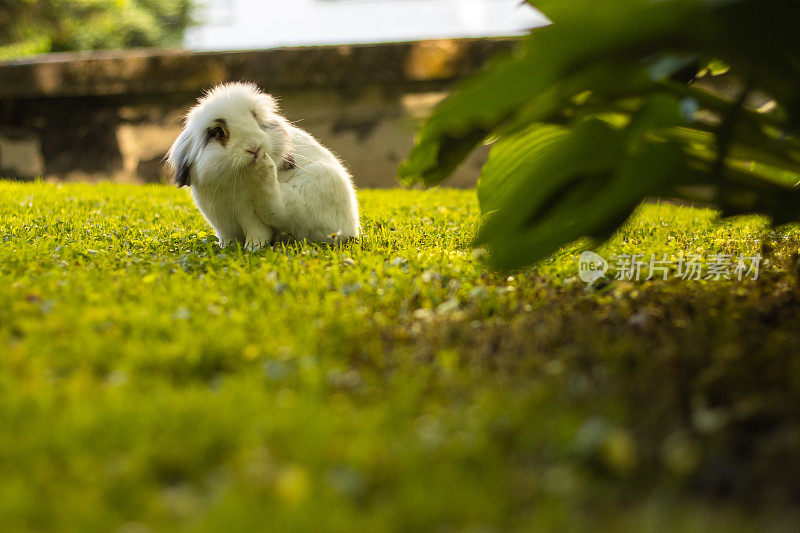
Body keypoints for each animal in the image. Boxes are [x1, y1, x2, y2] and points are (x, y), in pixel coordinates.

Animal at [167, 82, 360, 248]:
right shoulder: (220, 221)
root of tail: (352, 227)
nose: (255, 148)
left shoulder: (250, 216)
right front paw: (225, 248)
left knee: (280, 210)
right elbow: (228, 238)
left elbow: (258, 232)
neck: (231, 177)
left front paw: (252, 248)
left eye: (255, 120)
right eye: (219, 132)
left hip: (313, 186)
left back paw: (265, 166)